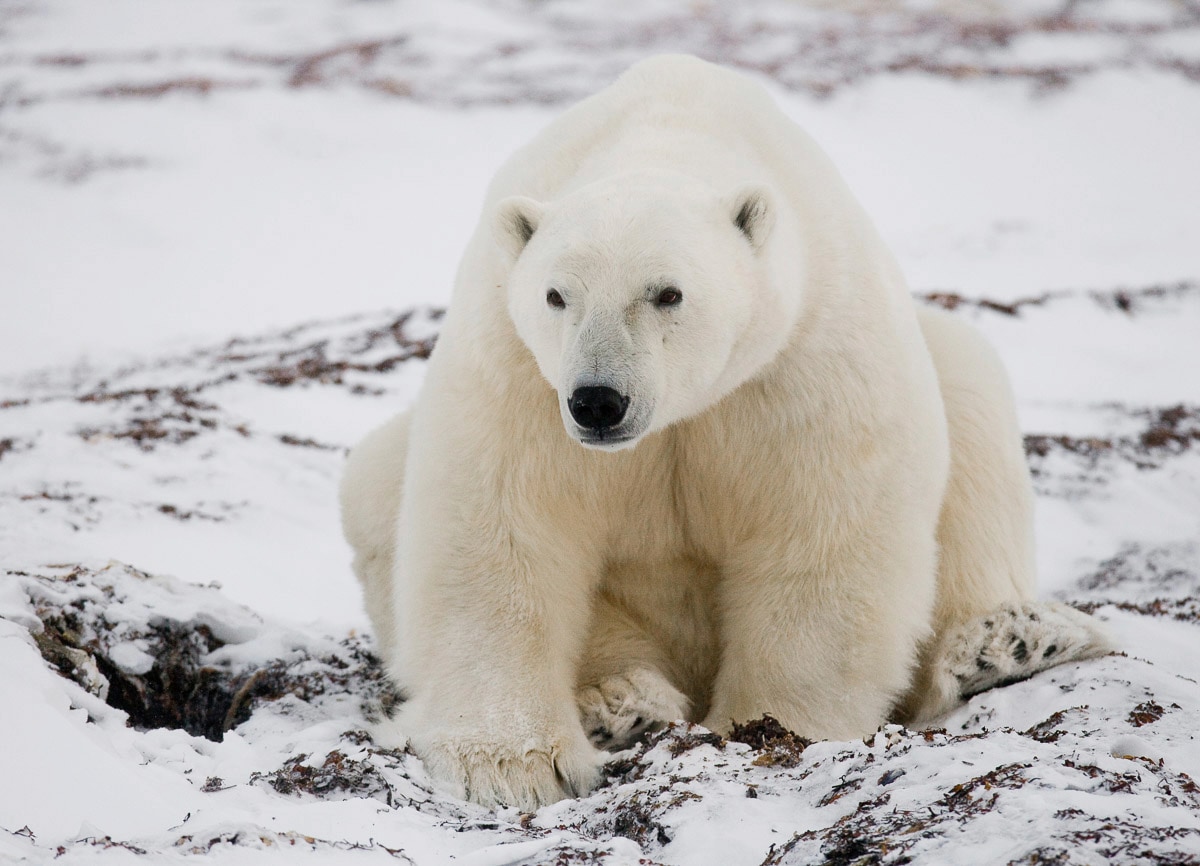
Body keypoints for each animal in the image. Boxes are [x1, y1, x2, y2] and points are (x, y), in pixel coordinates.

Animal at [338, 53, 1104, 810]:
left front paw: (772, 725)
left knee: (971, 392)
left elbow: (822, 532)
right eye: (556, 294)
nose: (597, 401)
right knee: (377, 479)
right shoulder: (519, 371)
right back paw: (622, 702)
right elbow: (500, 530)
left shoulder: (803, 357)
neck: (668, 129)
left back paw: (1007, 643)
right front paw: (511, 764)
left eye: (667, 292)